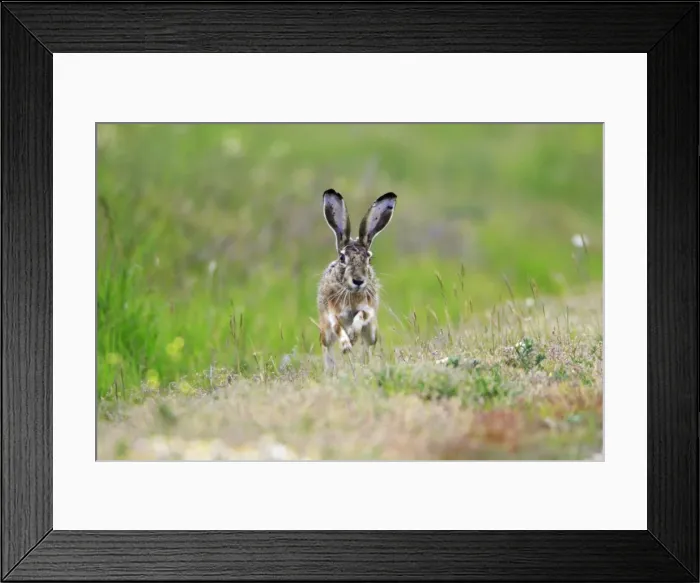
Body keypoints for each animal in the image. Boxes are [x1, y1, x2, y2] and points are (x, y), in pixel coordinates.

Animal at [316, 188, 397, 372]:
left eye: (369, 258)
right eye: (342, 258)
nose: (358, 281)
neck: (351, 293)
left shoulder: (368, 309)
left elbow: (360, 315)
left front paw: (353, 335)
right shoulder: (331, 312)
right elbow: (338, 327)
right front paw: (346, 345)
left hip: (372, 332)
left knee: (367, 346)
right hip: (325, 332)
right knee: (327, 347)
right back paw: (331, 370)